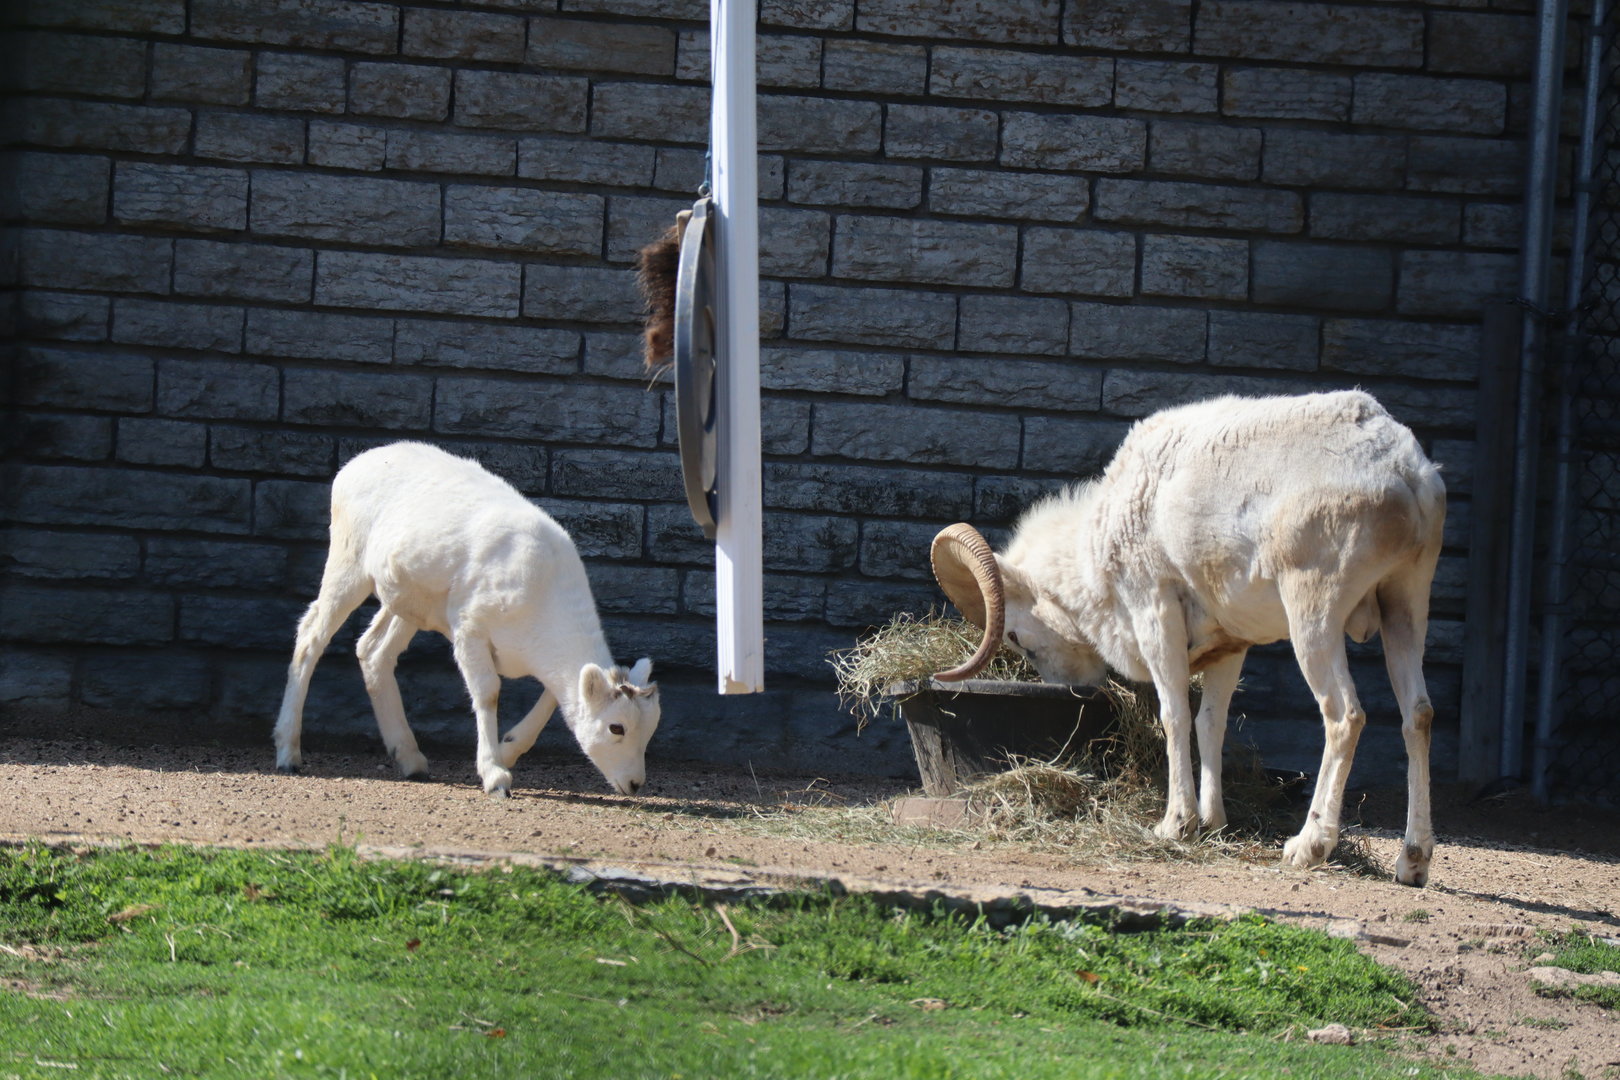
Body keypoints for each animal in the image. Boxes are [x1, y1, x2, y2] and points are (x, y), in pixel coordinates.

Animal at [273, 441, 660, 798]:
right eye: (616, 727)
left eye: (651, 727)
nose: (634, 784)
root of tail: (352, 466)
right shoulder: (469, 626)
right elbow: (488, 692)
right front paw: (496, 777)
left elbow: (554, 696)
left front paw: (507, 750)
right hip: (348, 561)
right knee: (311, 635)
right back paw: (288, 753)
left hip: (410, 601)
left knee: (372, 650)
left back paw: (411, 759)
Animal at [928, 390, 1445, 886]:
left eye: (1016, 636)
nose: (1067, 686)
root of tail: (1406, 474)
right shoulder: (1230, 647)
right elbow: (1209, 722)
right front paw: (1213, 823)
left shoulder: (1155, 611)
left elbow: (1174, 714)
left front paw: (1175, 825)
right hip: (1405, 603)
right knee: (1417, 715)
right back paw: (1412, 863)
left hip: (1313, 612)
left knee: (1344, 715)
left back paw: (1307, 848)